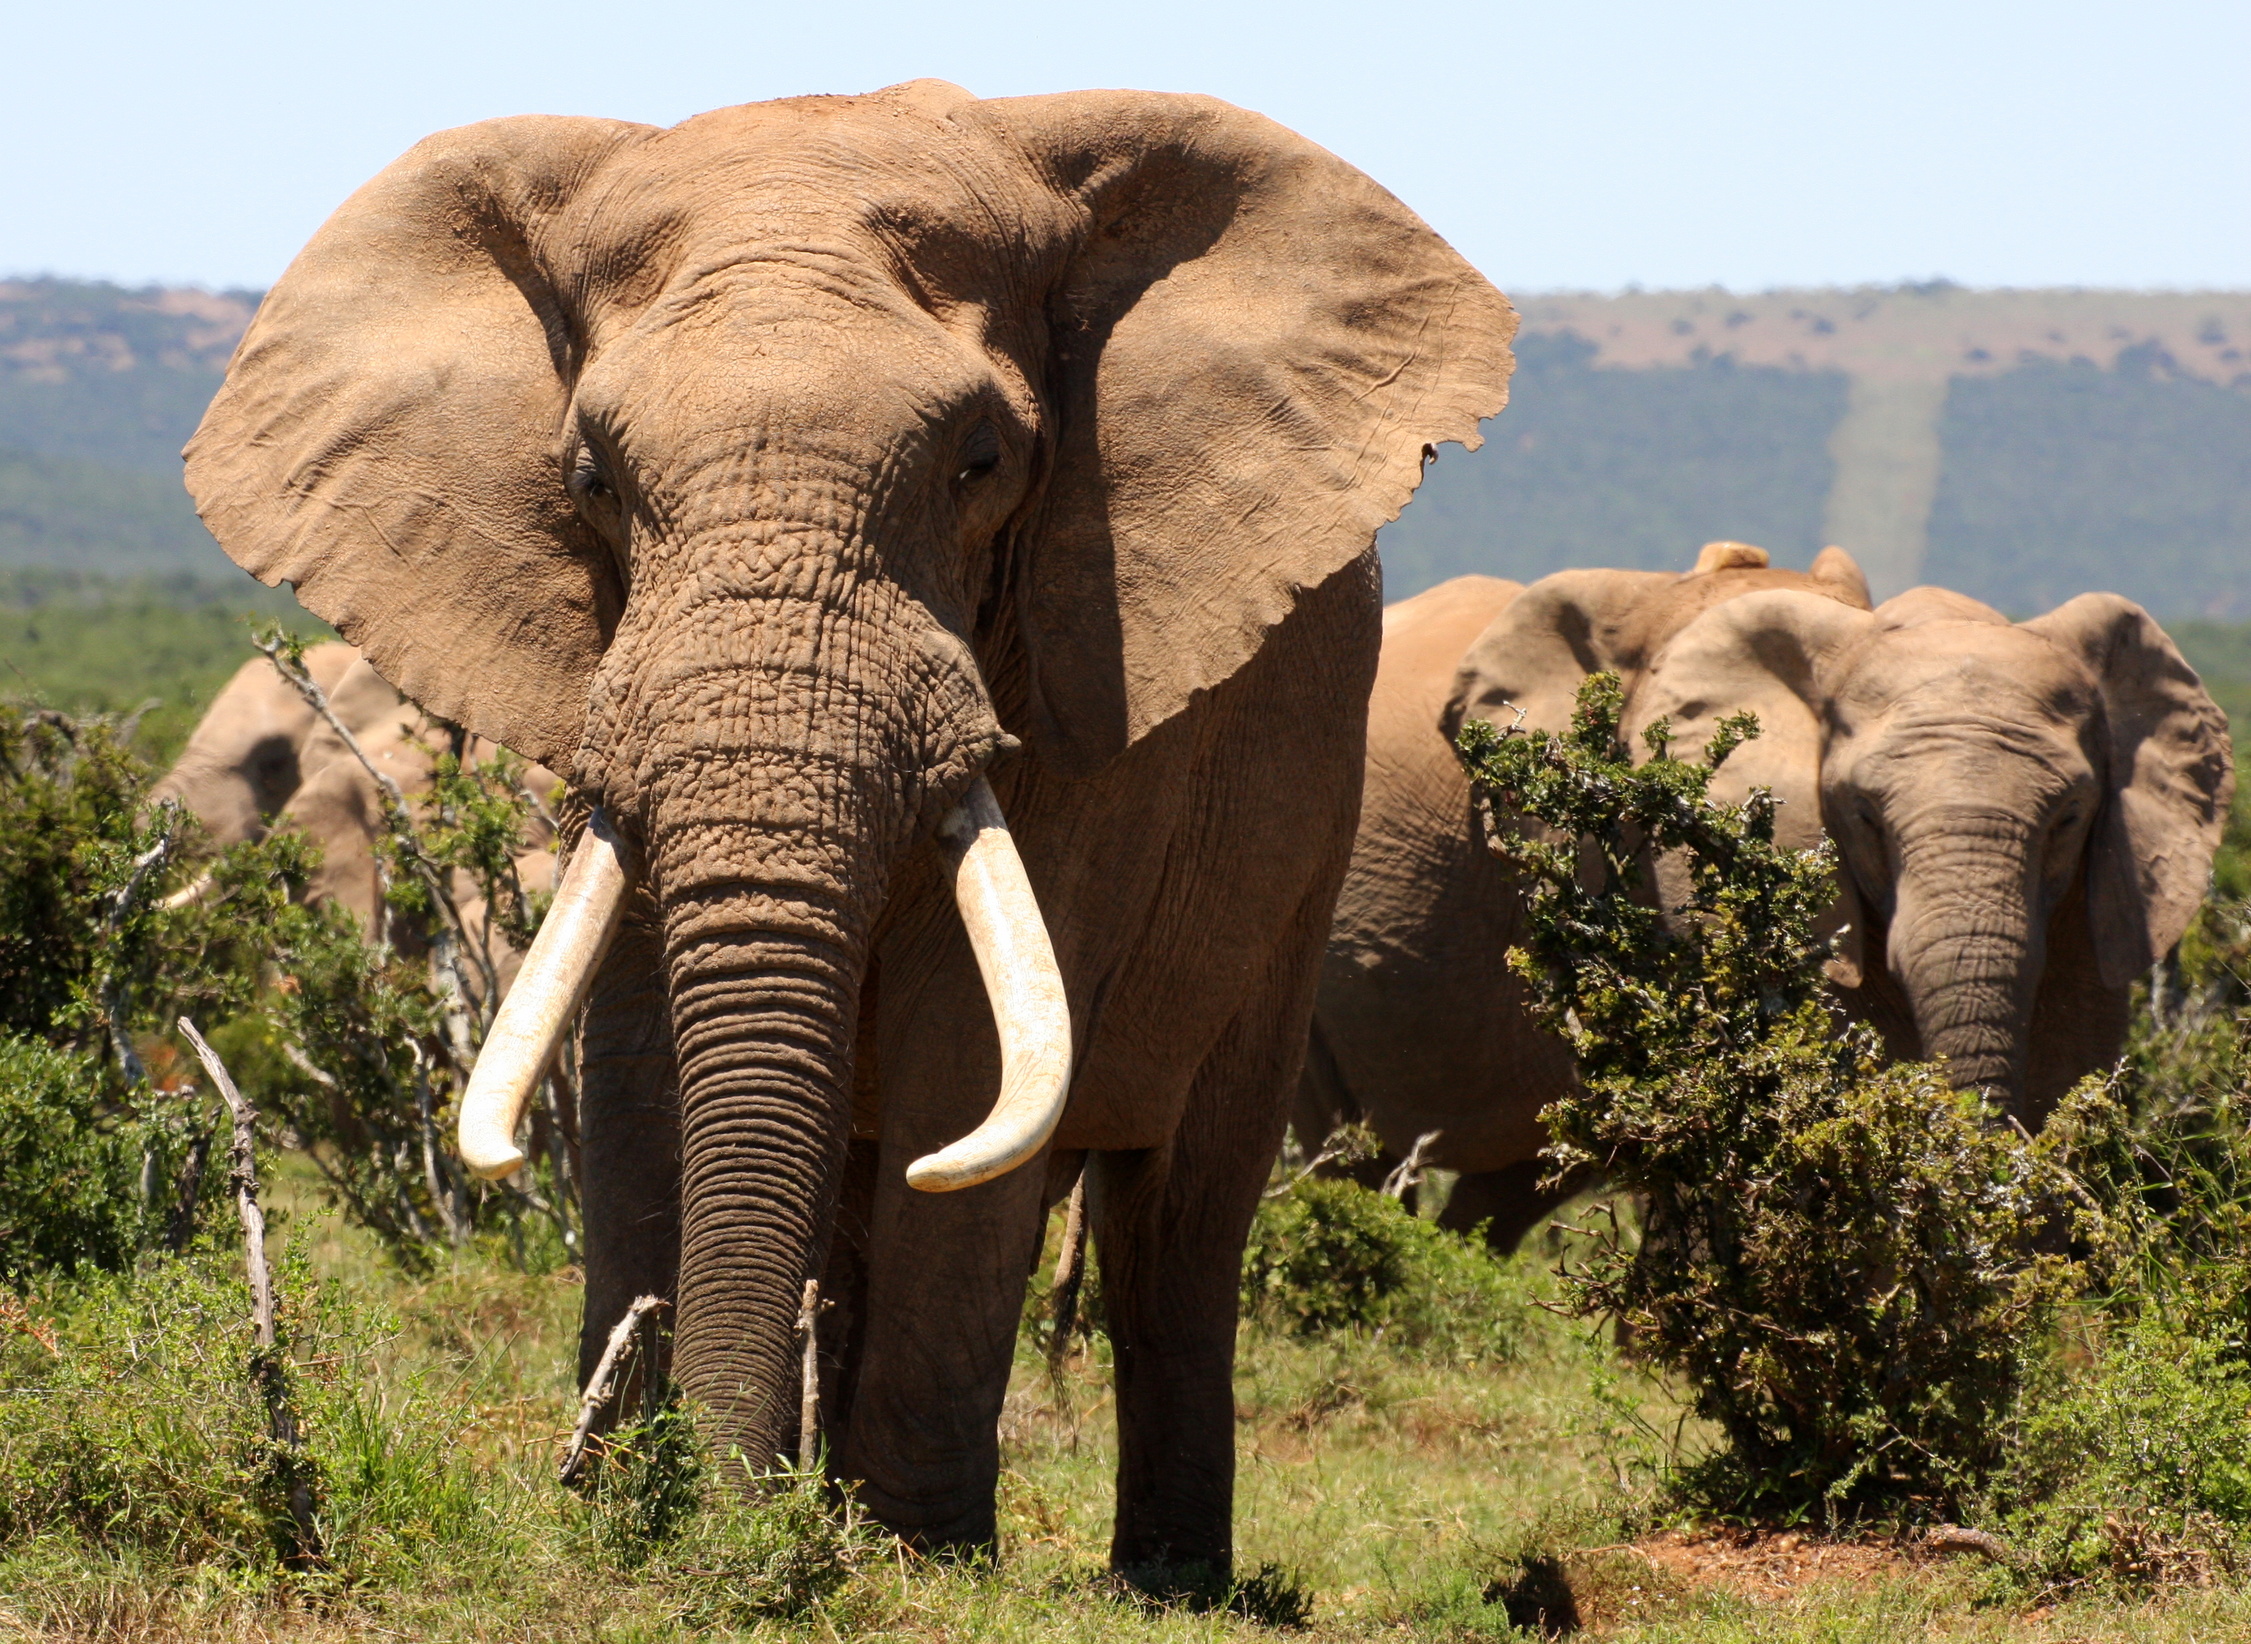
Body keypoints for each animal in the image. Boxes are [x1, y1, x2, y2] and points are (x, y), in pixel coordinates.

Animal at [181, 80, 1516, 1573]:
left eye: (981, 463)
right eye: (591, 480)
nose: (719, 1511)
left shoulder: (1090, 674)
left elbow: (962, 1055)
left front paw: (914, 1557)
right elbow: (640, 1053)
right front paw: (646, 1507)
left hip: (1308, 848)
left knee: (1175, 1207)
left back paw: (1162, 1577)